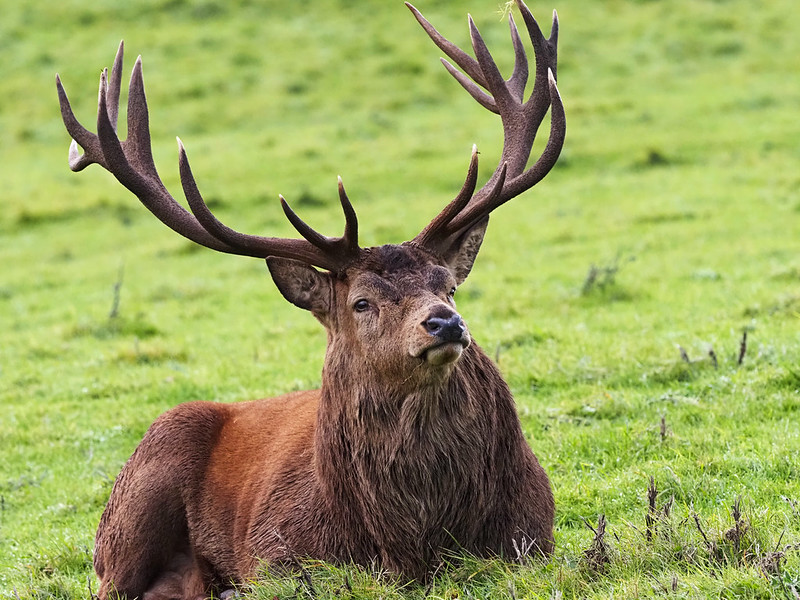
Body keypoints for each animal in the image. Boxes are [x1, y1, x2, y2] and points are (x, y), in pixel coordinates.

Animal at [56, 2, 564, 596]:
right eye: (361, 302)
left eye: (448, 285)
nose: (444, 324)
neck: (410, 545)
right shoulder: (273, 552)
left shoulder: (533, 536)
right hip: (134, 502)